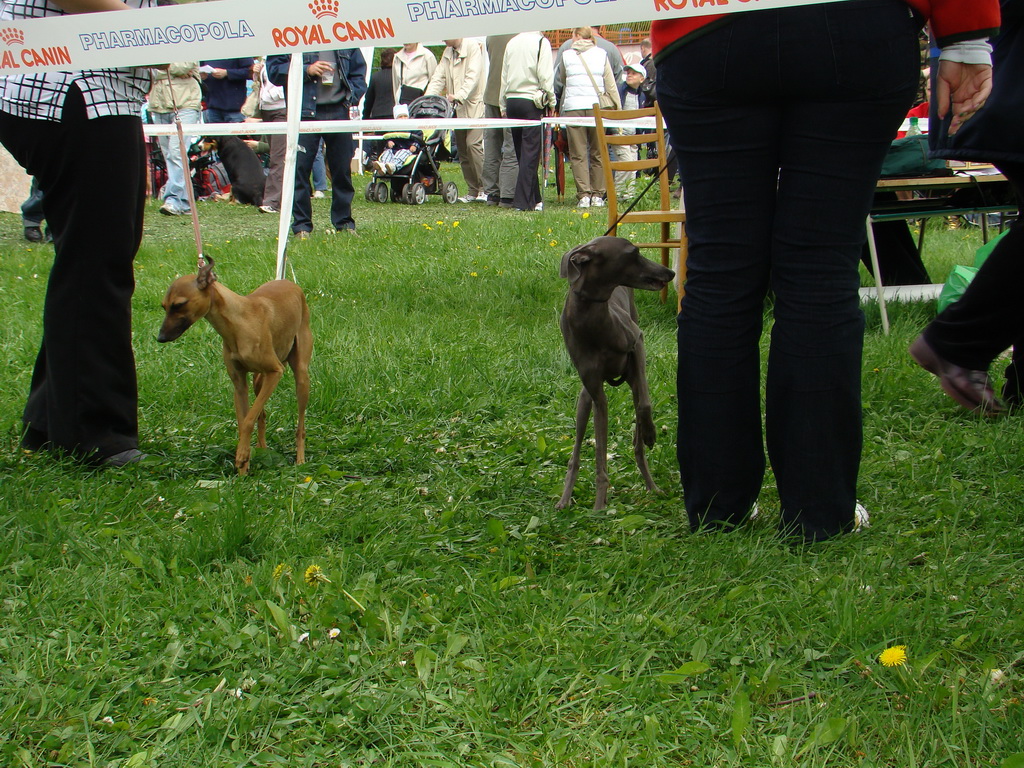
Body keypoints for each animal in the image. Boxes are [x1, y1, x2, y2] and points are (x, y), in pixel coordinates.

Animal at [157, 257, 309, 475]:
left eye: (179, 304)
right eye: (164, 306)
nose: (160, 338)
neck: (238, 322)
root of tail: (288, 282)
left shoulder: (275, 372)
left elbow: (247, 421)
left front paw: (242, 457)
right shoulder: (239, 384)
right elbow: (244, 420)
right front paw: (243, 469)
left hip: (301, 377)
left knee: (300, 426)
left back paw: (300, 459)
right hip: (258, 381)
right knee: (262, 414)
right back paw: (262, 449)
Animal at [561, 236, 671, 512]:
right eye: (634, 253)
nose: (670, 273)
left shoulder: (637, 342)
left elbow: (645, 405)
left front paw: (650, 433)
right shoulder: (597, 395)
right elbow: (600, 453)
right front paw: (600, 505)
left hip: (634, 373)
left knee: (638, 440)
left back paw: (652, 484)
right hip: (584, 400)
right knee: (576, 452)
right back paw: (564, 498)